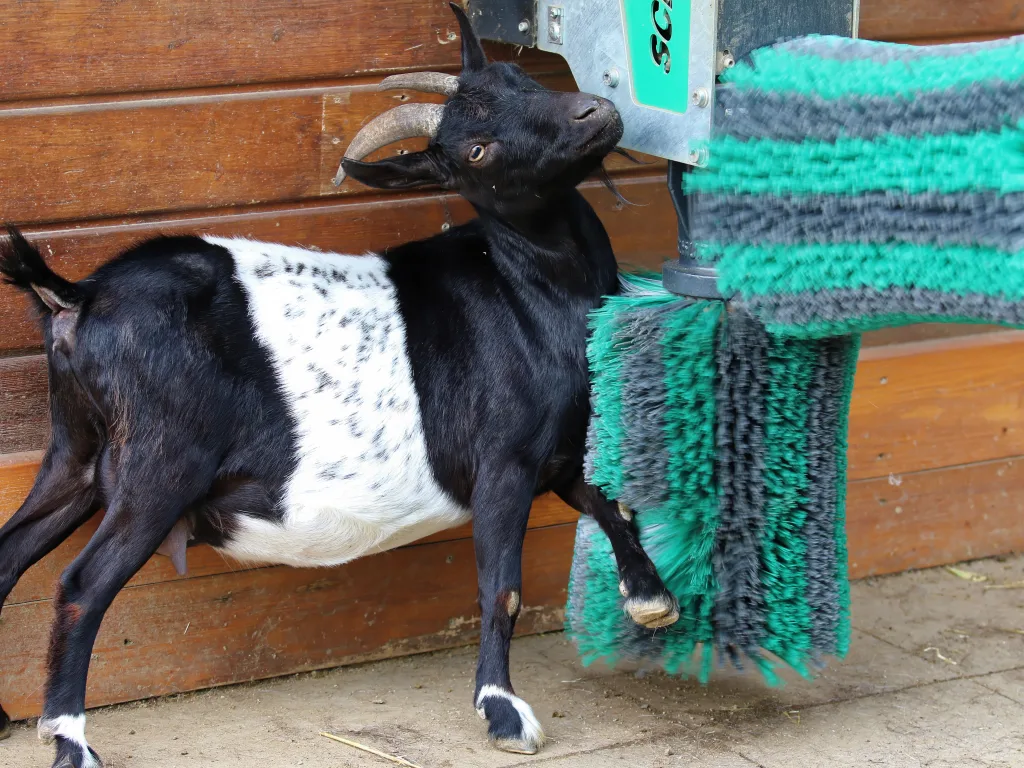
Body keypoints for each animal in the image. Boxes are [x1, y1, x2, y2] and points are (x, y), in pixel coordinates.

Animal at [0, 6, 678, 766]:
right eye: (476, 149)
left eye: (522, 81)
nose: (595, 112)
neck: (526, 286)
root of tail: (77, 296)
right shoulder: (503, 460)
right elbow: (500, 587)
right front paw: (503, 712)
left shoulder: (557, 447)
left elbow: (610, 502)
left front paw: (652, 599)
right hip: (159, 463)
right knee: (82, 586)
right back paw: (68, 738)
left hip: (78, 452)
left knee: (8, 554)